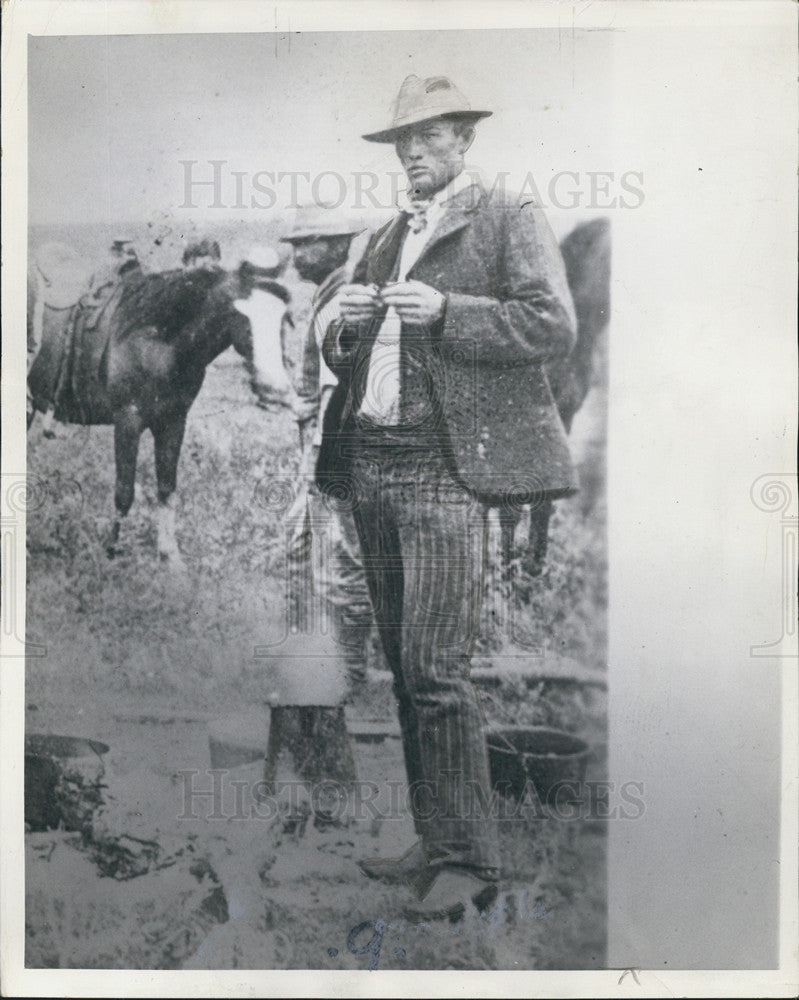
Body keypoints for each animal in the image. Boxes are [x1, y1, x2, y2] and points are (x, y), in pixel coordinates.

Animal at [28, 256, 292, 572]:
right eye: (243, 316)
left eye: (284, 319)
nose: (276, 388)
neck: (155, 340)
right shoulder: (128, 420)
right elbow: (124, 492)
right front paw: (111, 553)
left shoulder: (173, 421)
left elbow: (167, 487)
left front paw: (170, 557)